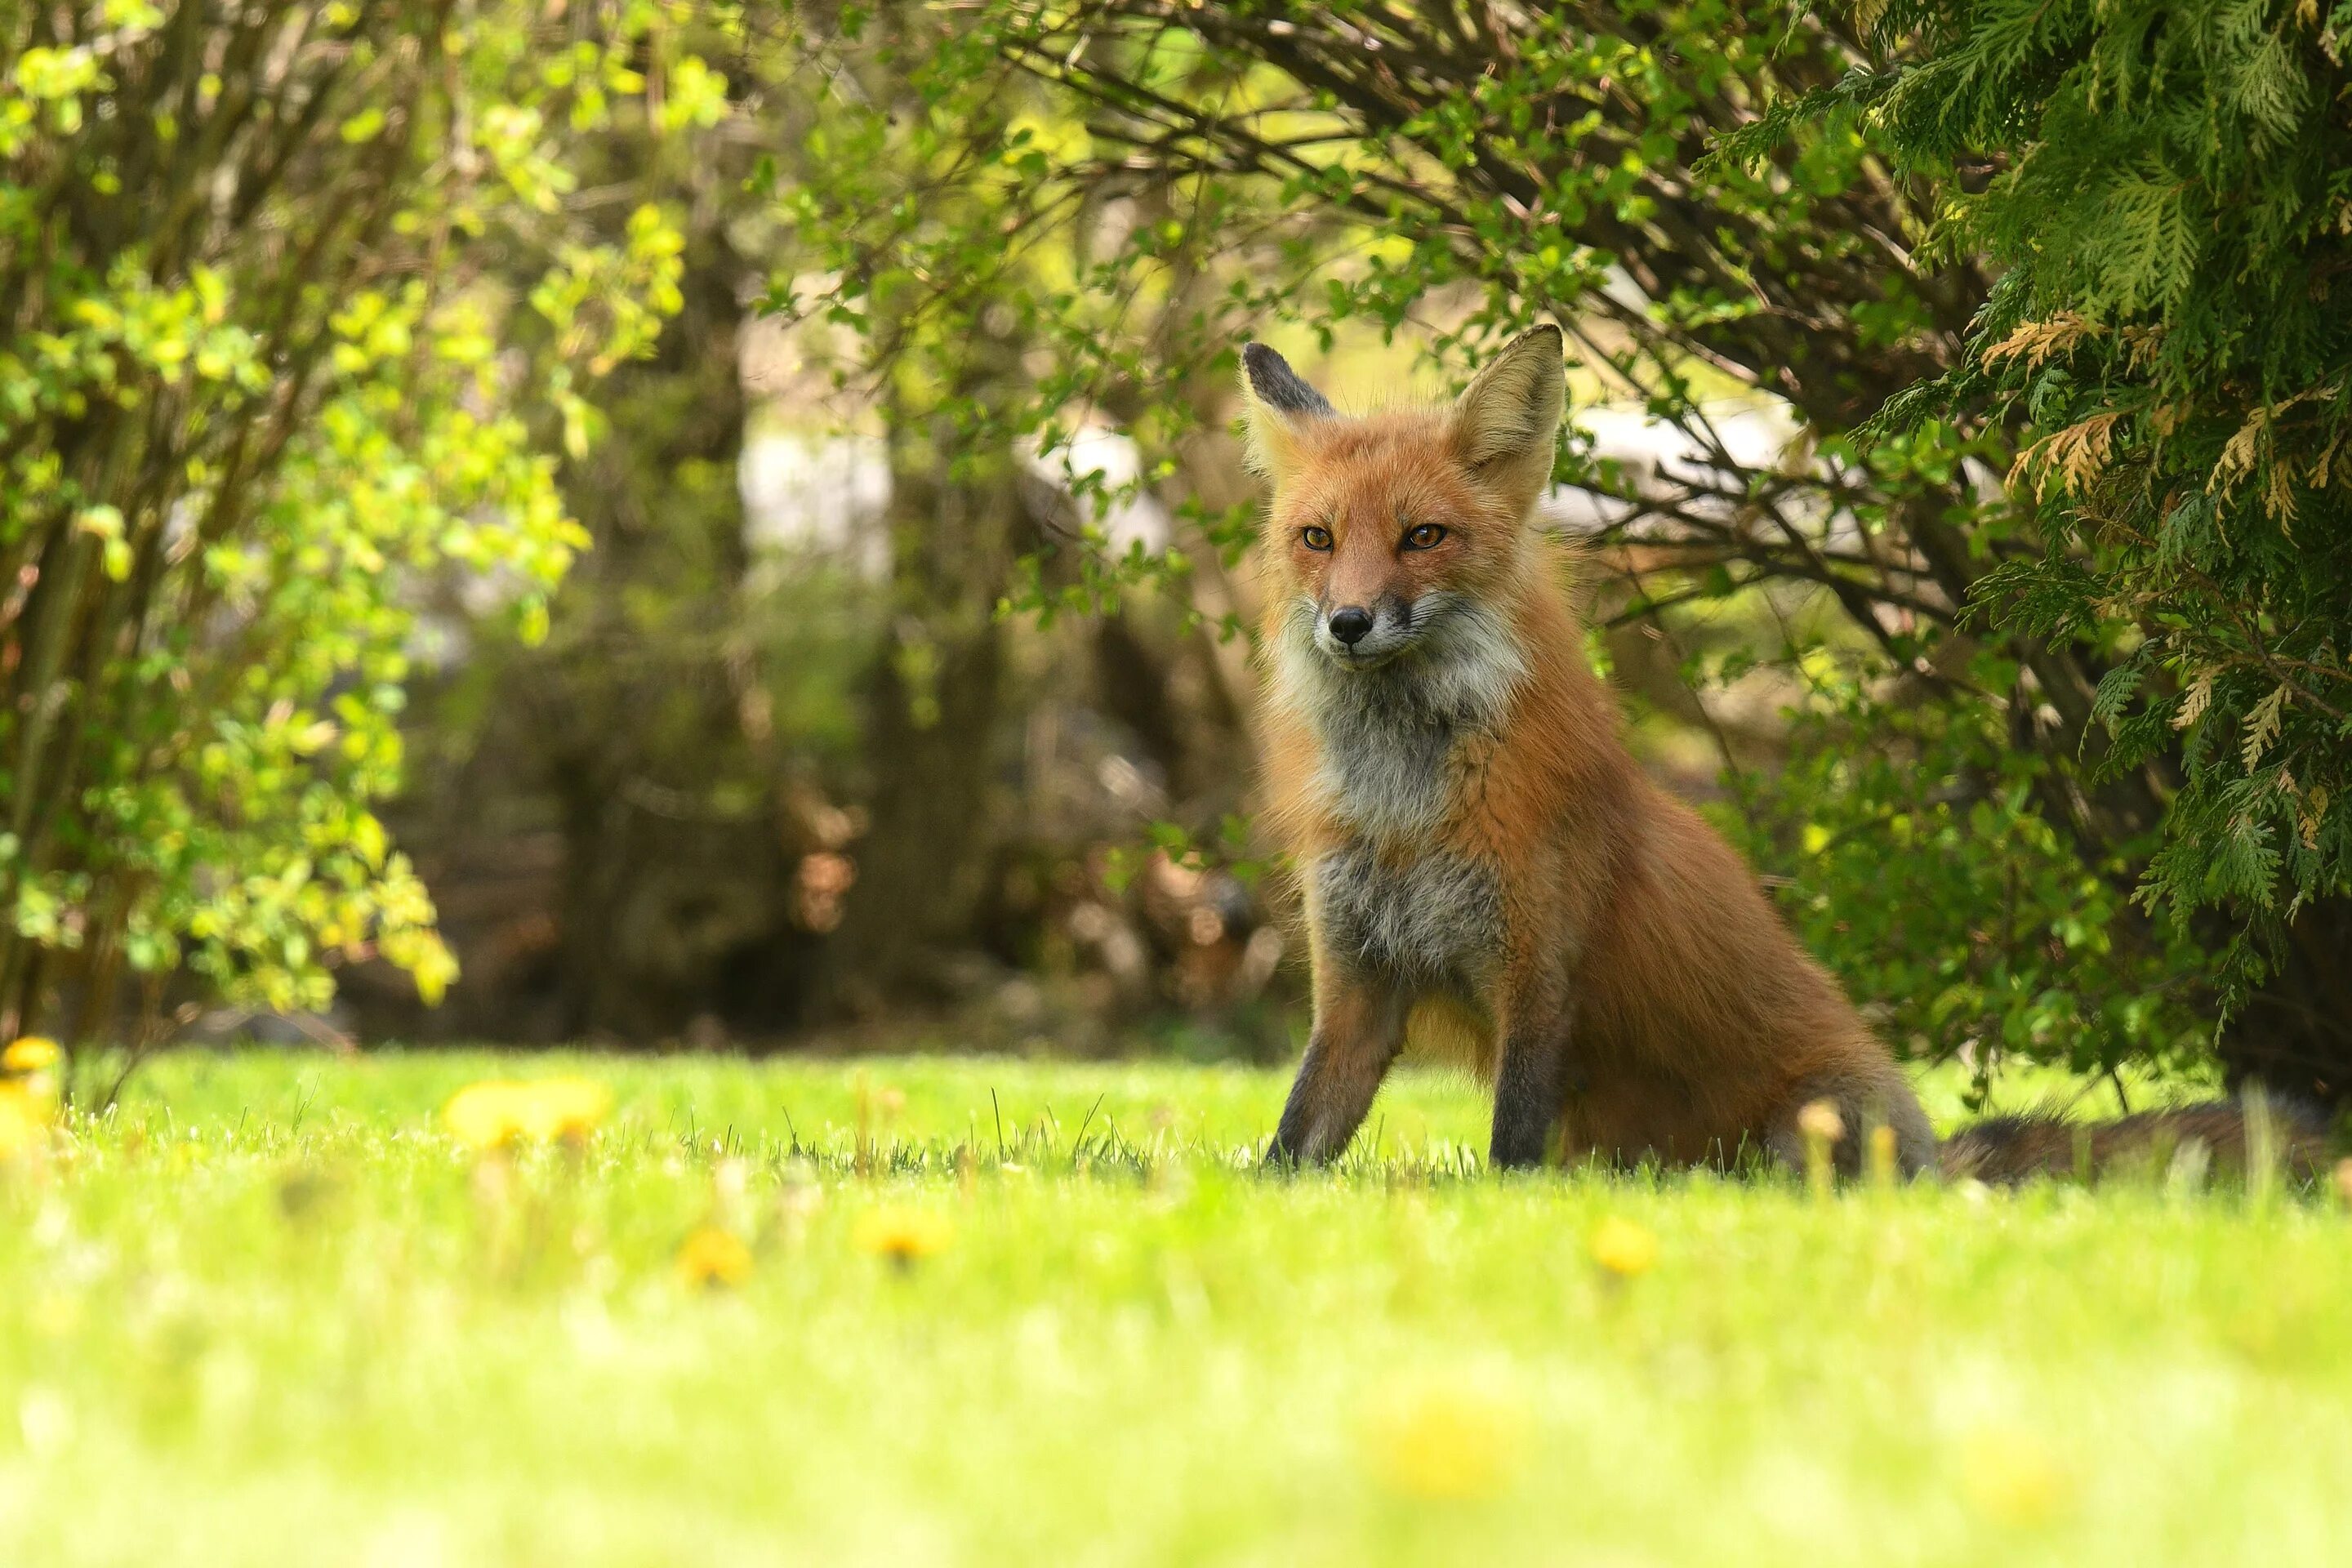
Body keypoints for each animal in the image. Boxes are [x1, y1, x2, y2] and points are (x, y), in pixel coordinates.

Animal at [1241, 331, 2323, 1184]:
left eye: (1423, 536)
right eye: (1318, 539)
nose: (1348, 623)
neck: (1404, 806)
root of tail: (1933, 1161)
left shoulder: (1538, 975)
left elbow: (1513, 1146)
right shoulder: (1356, 988)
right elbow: (1293, 1142)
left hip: (1805, 1126)